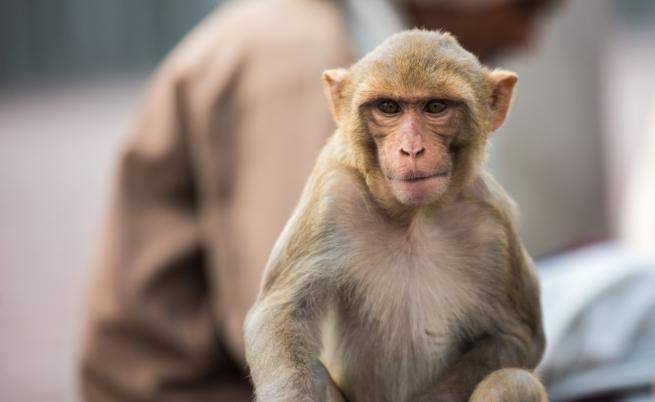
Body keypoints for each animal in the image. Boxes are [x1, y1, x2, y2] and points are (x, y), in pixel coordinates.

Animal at [246, 29, 548, 402]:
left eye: (435, 107)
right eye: (389, 107)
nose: (412, 149)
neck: (412, 218)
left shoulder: (494, 224)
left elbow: (516, 337)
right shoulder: (332, 195)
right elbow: (281, 315)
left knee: (513, 382)